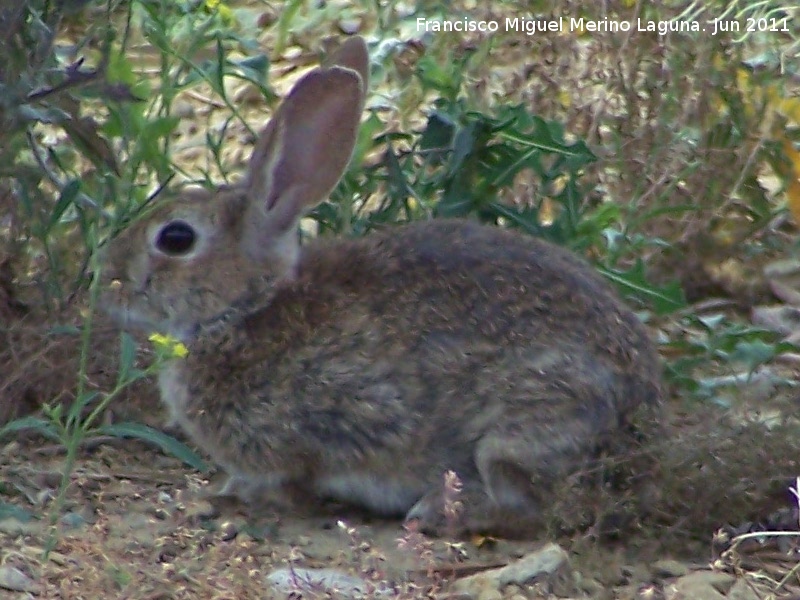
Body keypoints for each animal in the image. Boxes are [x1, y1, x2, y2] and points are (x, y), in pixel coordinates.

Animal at [100, 35, 664, 536]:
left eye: (176, 238)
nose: (106, 283)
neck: (244, 309)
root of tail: (645, 438)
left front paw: (241, 494)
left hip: (521, 428)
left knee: (534, 509)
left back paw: (439, 513)